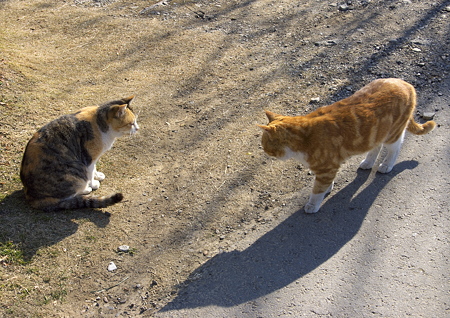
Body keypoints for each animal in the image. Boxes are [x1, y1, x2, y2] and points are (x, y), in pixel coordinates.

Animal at [258, 78, 438, 214]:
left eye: (265, 144)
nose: (265, 152)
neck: (304, 139)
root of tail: (404, 82)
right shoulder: (327, 169)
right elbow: (324, 184)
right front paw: (328, 189)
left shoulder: (327, 168)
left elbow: (317, 190)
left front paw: (313, 204)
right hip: (376, 133)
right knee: (375, 147)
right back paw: (368, 162)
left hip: (392, 134)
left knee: (395, 147)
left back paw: (387, 165)